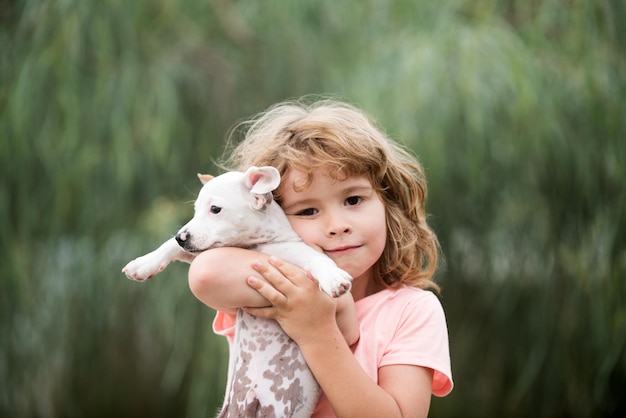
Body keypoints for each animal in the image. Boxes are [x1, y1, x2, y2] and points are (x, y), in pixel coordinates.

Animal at [122, 167, 352, 418]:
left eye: (215, 209)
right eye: (195, 210)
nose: (181, 236)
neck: (257, 246)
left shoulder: (299, 256)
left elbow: (319, 259)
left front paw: (333, 277)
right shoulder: (205, 251)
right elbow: (169, 246)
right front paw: (143, 264)